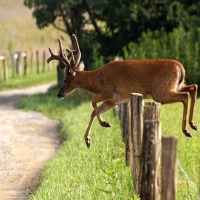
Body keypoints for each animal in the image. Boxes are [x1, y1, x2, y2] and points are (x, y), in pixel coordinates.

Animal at [47, 33, 198, 148]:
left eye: (65, 80)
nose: (59, 94)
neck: (97, 79)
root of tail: (180, 67)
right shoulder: (114, 101)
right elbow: (93, 112)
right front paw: (88, 140)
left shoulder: (108, 91)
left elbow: (92, 103)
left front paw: (105, 123)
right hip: (176, 85)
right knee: (193, 87)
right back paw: (193, 125)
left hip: (161, 92)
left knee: (185, 95)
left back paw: (186, 130)